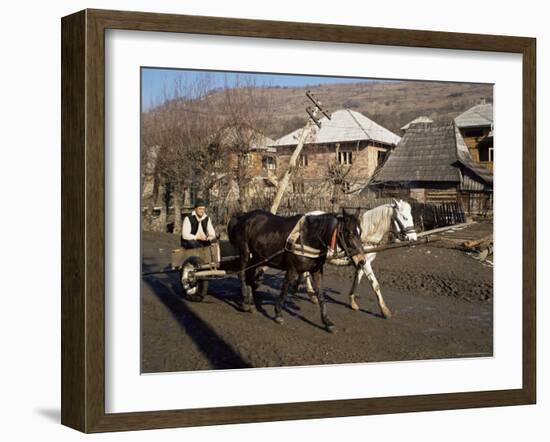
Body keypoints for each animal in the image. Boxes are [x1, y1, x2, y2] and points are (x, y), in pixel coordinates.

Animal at [229, 211, 366, 332]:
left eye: (360, 232)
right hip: (245, 253)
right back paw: (245, 300)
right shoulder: (292, 270)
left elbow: (321, 295)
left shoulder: (316, 271)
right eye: (349, 233)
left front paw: (327, 321)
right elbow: (284, 290)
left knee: (250, 276)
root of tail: (243, 216)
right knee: (242, 274)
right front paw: (278, 314)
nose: (362, 261)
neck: (307, 237)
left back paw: (250, 303)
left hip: (258, 258)